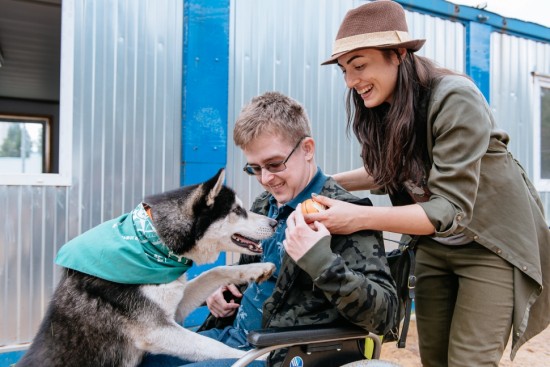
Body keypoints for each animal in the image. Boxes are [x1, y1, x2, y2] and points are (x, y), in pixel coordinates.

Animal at [18, 170, 278, 367]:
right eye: (237, 211)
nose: (275, 222)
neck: (154, 242)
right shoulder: (157, 330)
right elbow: (216, 346)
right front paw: (260, 356)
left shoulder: (175, 309)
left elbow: (213, 272)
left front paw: (259, 268)